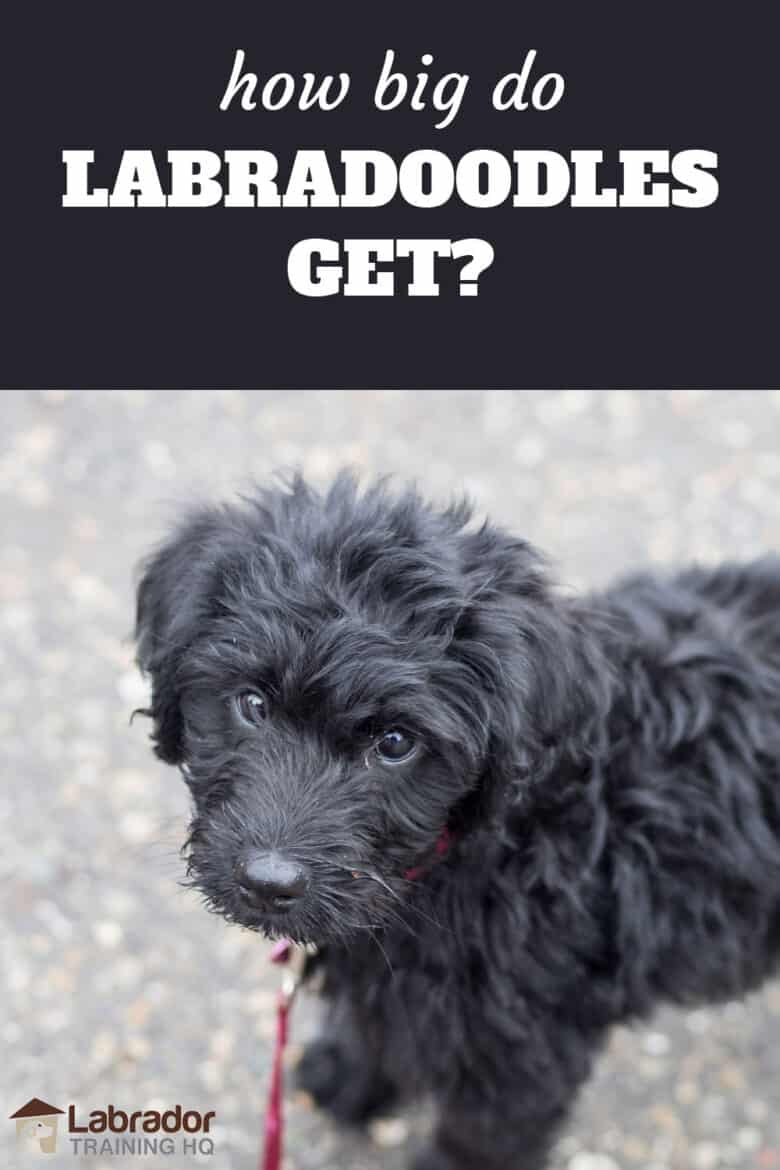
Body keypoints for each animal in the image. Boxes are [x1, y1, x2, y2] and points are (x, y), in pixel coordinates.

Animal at [134, 475, 780, 1170]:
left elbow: (479, 1138)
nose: (269, 883)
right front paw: (350, 1078)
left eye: (395, 742)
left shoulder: (525, 1050)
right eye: (251, 704)